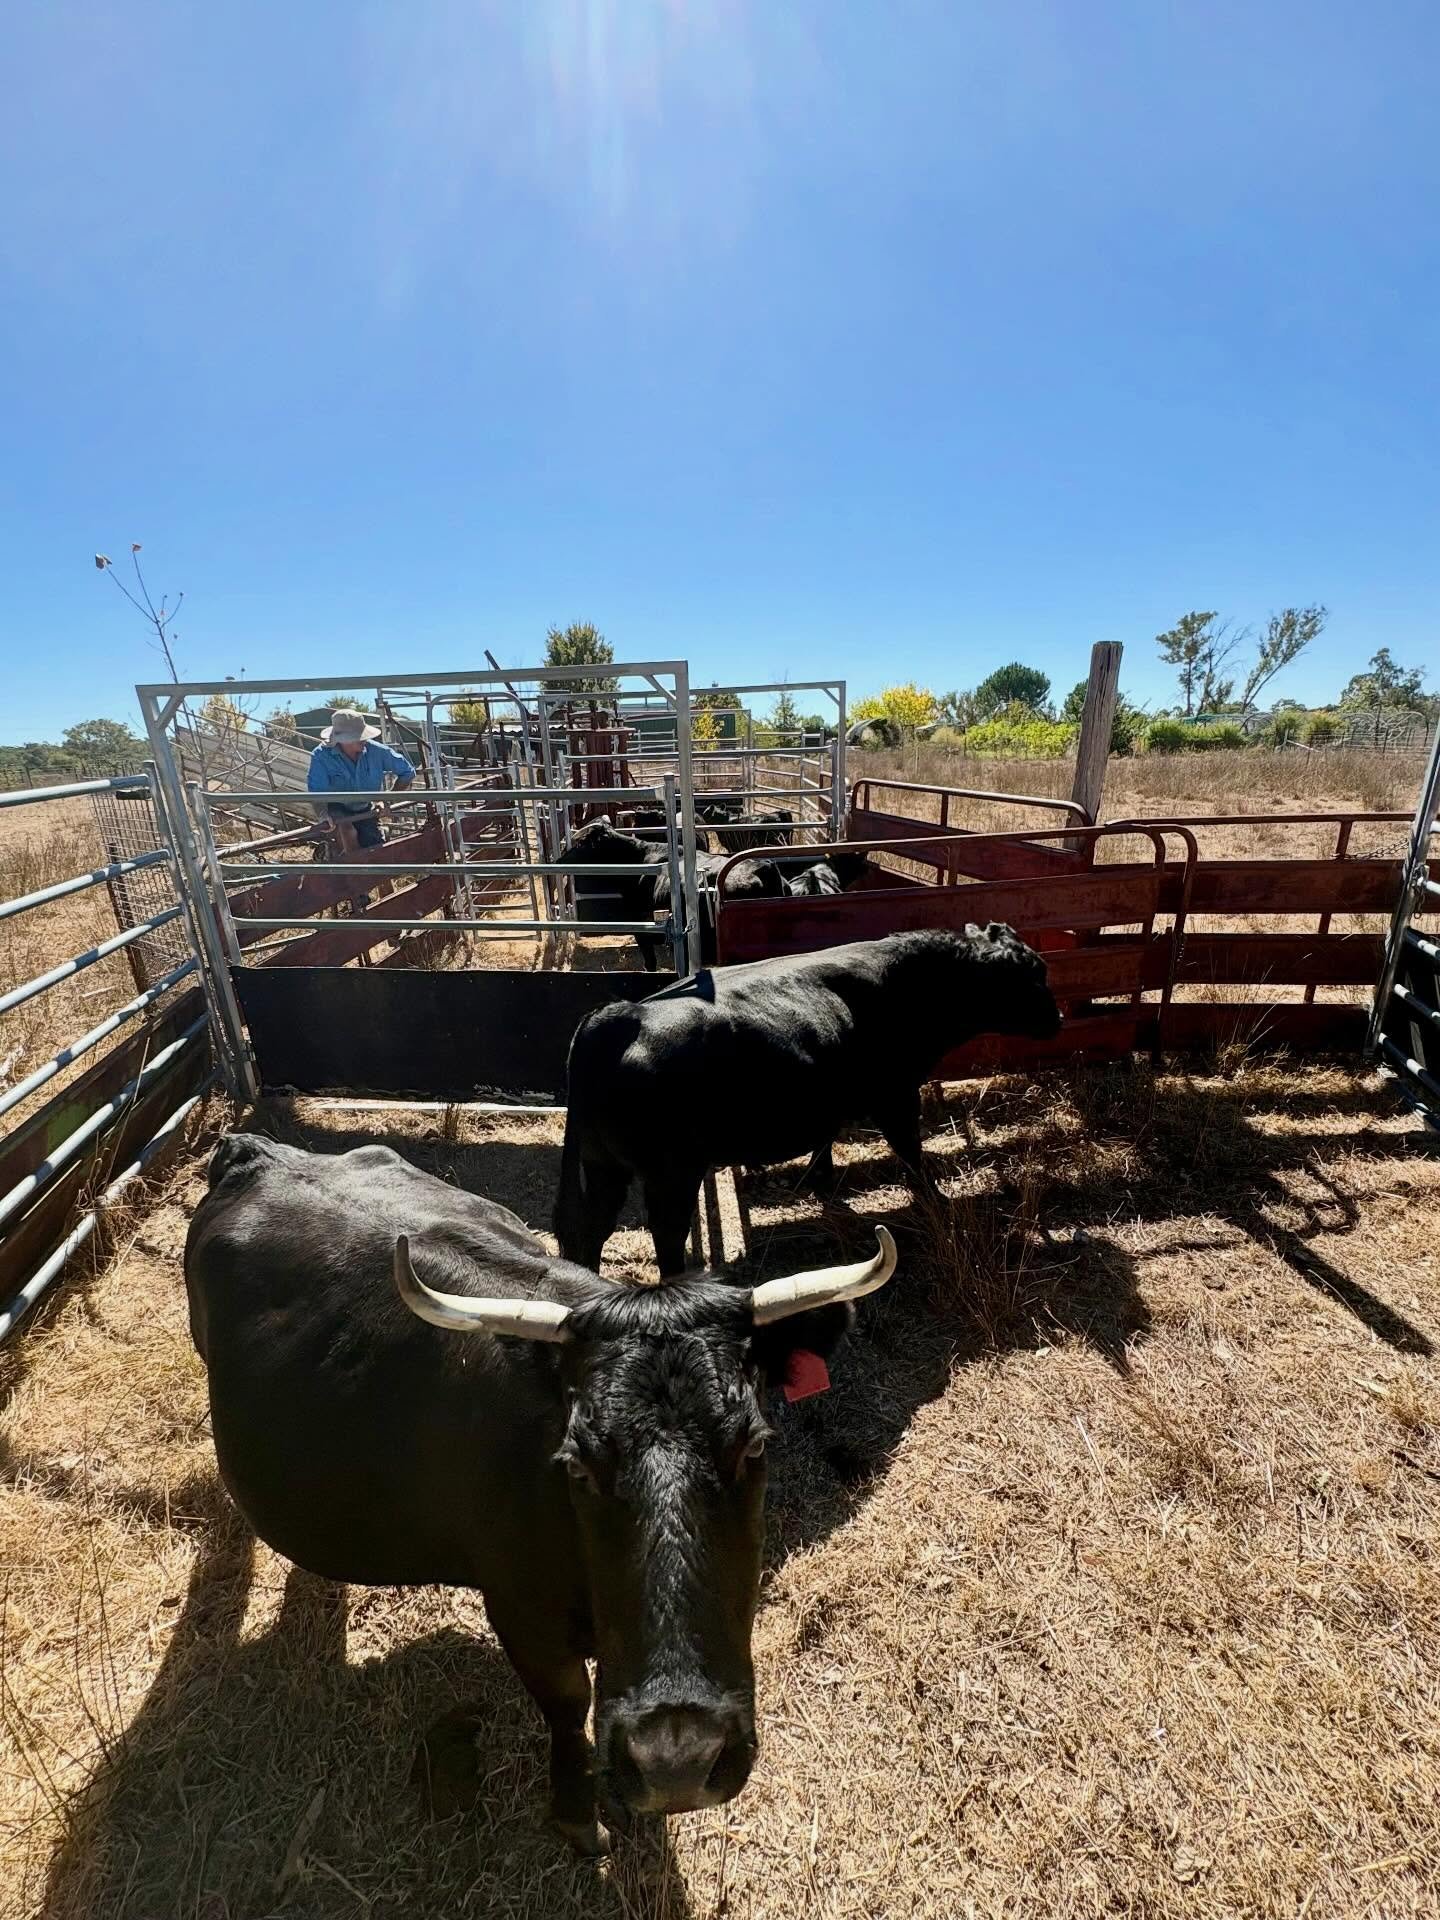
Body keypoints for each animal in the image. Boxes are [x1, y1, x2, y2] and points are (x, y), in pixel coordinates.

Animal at [185, 1132, 897, 1853]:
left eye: (754, 1445)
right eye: (577, 1464)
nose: (678, 1761)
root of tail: (254, 1148)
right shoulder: (520, 1610)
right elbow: (566, 1703)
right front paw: (579, 1816)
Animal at [555, 924, 1061, 1276]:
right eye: (1031, 977)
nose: (1058, 1018)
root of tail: (623, 1014)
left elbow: (826, 1143)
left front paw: (824, 1184)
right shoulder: (896, 1095)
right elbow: (912, 1153)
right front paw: (935, 1201)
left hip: (602, 1165)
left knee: (592, 1229)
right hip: (671, 1174)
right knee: (666, 1236)